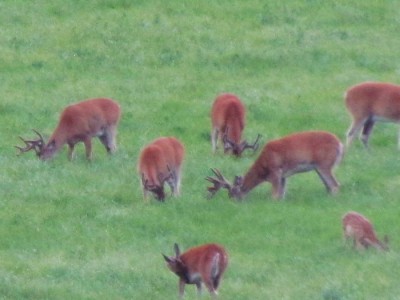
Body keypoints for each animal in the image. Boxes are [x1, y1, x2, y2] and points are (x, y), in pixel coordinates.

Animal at [206, 131, 344, 199]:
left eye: (232, 193)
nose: (233, 202)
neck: (263, 168)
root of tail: (340, 144)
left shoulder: (275, 171)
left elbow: (275, 195)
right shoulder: (283, 176)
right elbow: (281, 194)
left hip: (324, 164)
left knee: (335, 185)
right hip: (318, 167)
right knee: (329, 186)